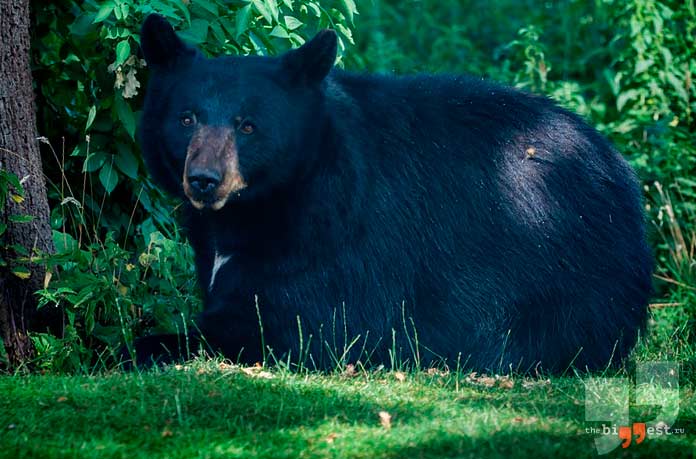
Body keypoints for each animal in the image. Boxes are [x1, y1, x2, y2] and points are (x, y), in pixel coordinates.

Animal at [135, 14, 652, 374]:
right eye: (186, 118)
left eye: (248, 126)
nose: (204, 179)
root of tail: (621, 171)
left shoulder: (336, 234)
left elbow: (294, 321)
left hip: (562, 264)